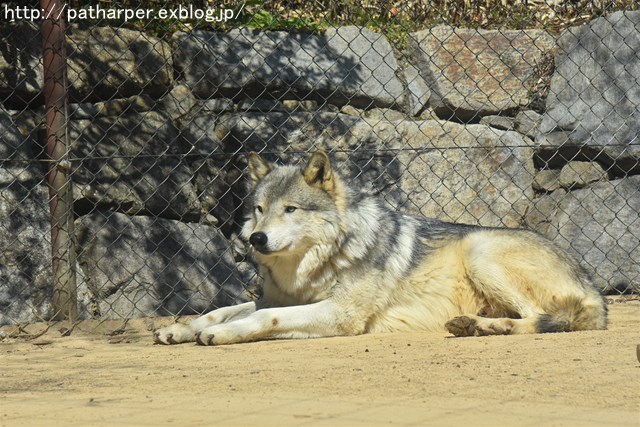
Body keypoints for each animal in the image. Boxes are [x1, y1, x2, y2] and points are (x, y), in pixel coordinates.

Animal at [152, 149, 608, 346]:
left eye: (290, 210)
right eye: (259, 210)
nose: (255, 239)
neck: (316, 264)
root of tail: (593, 286)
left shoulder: (340, 314)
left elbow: (265, 318)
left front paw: (220, 333)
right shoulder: (276, 296)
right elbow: (225, 308)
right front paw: (180, 327)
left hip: (479, 249)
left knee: (542, 318)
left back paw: (485, 328)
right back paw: (474, 324)